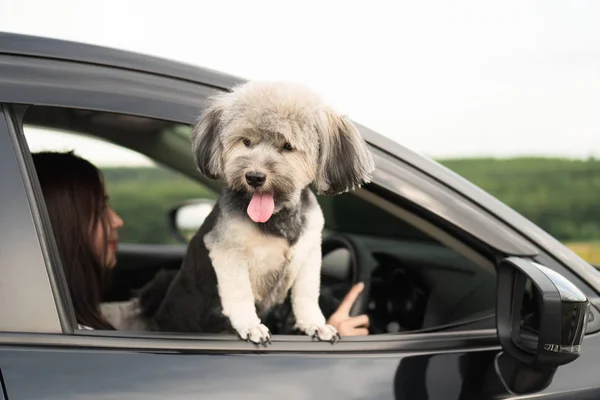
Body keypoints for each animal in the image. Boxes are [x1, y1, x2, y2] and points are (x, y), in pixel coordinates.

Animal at [142, 81, 372, 344]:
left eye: (288, 146)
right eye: (246, 141)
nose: (254, 176)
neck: (279, 217)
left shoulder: (310, 253)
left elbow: (307, 293)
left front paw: (315, 324)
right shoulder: (227, 251)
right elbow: (240, 293)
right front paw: (251, 326)